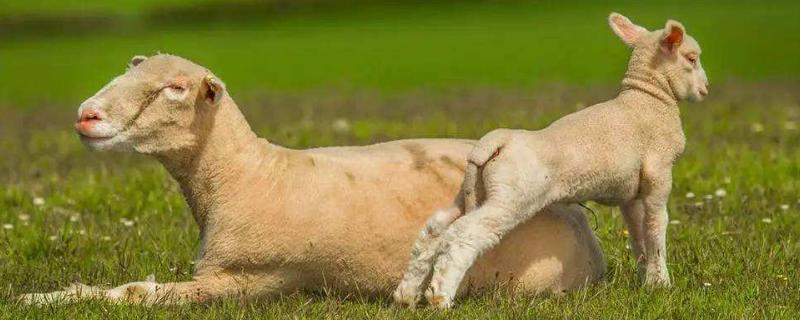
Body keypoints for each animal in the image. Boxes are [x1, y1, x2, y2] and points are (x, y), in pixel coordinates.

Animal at [17, 54, 608, 304]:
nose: (87, 115)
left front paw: (46, 301)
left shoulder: (247, 281)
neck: (249, 175)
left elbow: (136, 294)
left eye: (176, 89)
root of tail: (585, 227)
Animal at [396, 11, 708, 308]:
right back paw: (441, 298)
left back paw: (407, 294)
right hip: (511, 197)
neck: (649, 99)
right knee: (464, 233)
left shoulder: (630, 193)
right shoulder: (659, 174)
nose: (705, 89)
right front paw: (662, 284)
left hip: (473, 190)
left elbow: (637, 235)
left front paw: (646, 281)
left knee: (436, 228)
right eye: (692, 58)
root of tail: (495, 142)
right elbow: (656, 228)